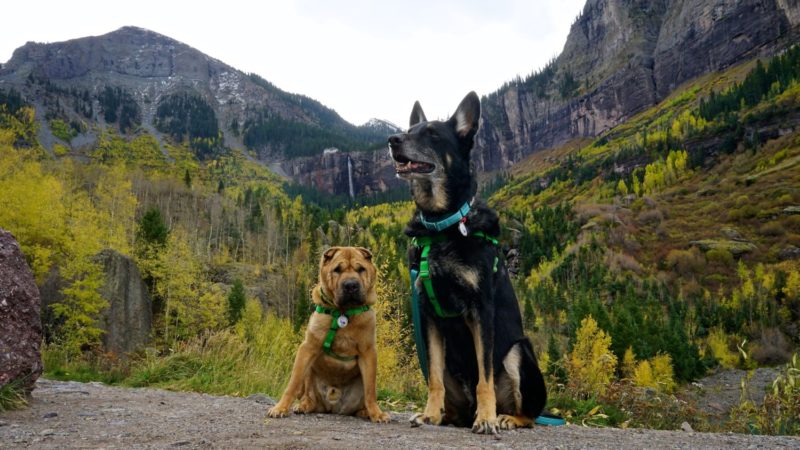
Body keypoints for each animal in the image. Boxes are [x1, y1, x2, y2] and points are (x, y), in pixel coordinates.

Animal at [268, 246, 390, 422]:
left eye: (361, 269)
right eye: (337, 269)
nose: (351, 285)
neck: (344, 313)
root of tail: (332, 407)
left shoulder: (368, 352)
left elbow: (370, 391)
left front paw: (377, 413)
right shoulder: (307, 348)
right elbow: (293, 383)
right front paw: (280, 408)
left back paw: (365, 412)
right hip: (310, 373)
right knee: (308, 395)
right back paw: (303, 406)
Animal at [386, 92, 544, 436]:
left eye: (432, 134)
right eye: (409, 129)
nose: (392, 140)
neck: (441, 225)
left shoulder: (480, 310)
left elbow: (485, 378)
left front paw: (485, 419)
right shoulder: (428, 315)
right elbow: (432, 377)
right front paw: (430, 414)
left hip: (519, 351)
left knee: (530, 413)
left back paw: (504, 417)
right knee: (451, 397)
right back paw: (446, 415)